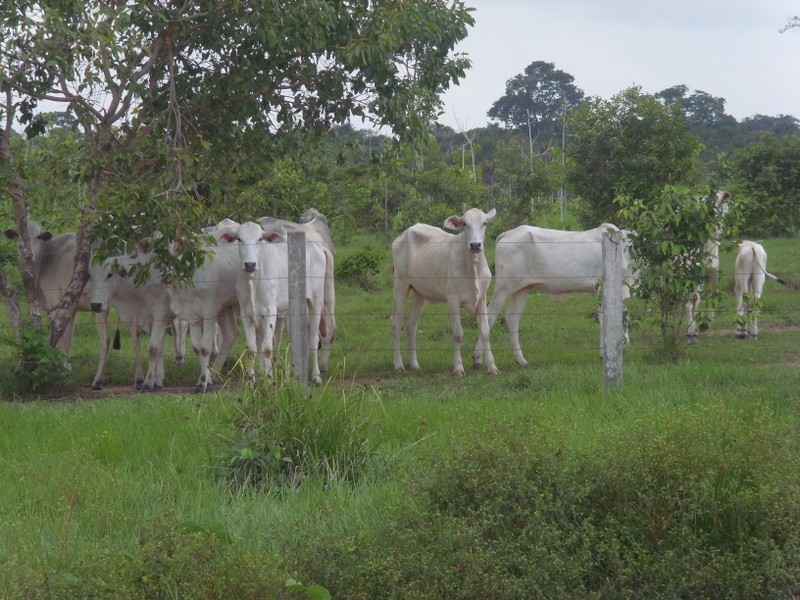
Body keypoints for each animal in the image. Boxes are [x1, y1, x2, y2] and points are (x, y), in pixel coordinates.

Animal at [390, 206, 496, 376]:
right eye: (464, 223)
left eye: (485, 223)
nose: (475, 245)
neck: (472, 267)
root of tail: (404, 234)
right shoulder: (452, 298)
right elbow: (458, 334)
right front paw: (458, 368)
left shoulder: (482, 298)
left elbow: (485, 332)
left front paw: (492, 367)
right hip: (400, 284)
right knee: (396, 322)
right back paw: (398, 364)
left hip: (419, 293)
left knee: (411, 324)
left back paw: (414, 364)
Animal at [472, 223, 628, 368]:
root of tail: (508, 234)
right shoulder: (604, 286)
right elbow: (610, 316)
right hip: (504, 288)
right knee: (489, 316)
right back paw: (478, 359)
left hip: (522, 289)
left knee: (512, 319)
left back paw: (521, 360)